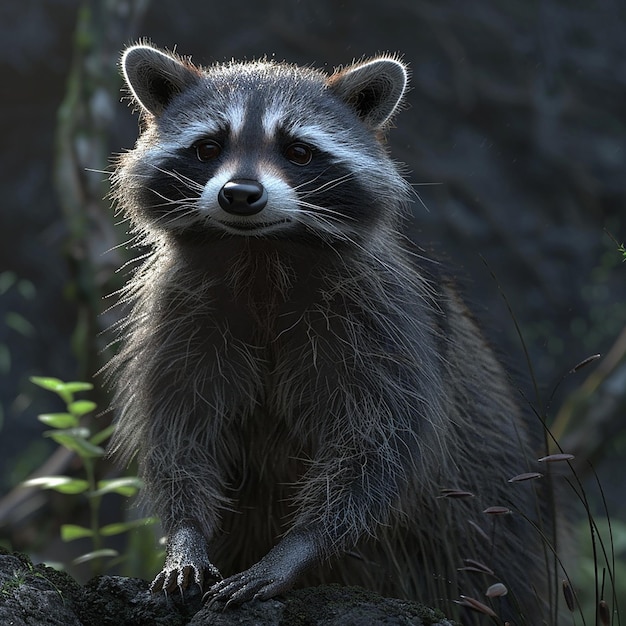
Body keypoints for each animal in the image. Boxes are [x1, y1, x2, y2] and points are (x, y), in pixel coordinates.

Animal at [108, 42, 560, 620]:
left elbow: (375, 449)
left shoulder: (381, 320)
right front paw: (186, 532)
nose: (239, 194)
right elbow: (182, 429)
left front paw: (302, 545)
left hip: (486, 529)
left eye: (298, 151)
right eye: (208, 147)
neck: (261, 252)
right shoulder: (183, 311)